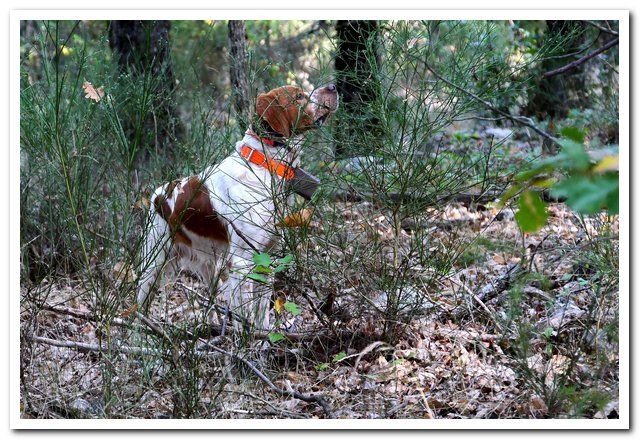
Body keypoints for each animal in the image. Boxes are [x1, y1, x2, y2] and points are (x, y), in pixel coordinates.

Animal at [139, 84, 340, 328]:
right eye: (299, 96)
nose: (333, 86)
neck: (263, 164)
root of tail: (158, 194)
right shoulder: (243, 259)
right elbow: (245, 314)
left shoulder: (267, 254)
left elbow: (262, 312)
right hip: (153, 262)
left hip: (209, 266)